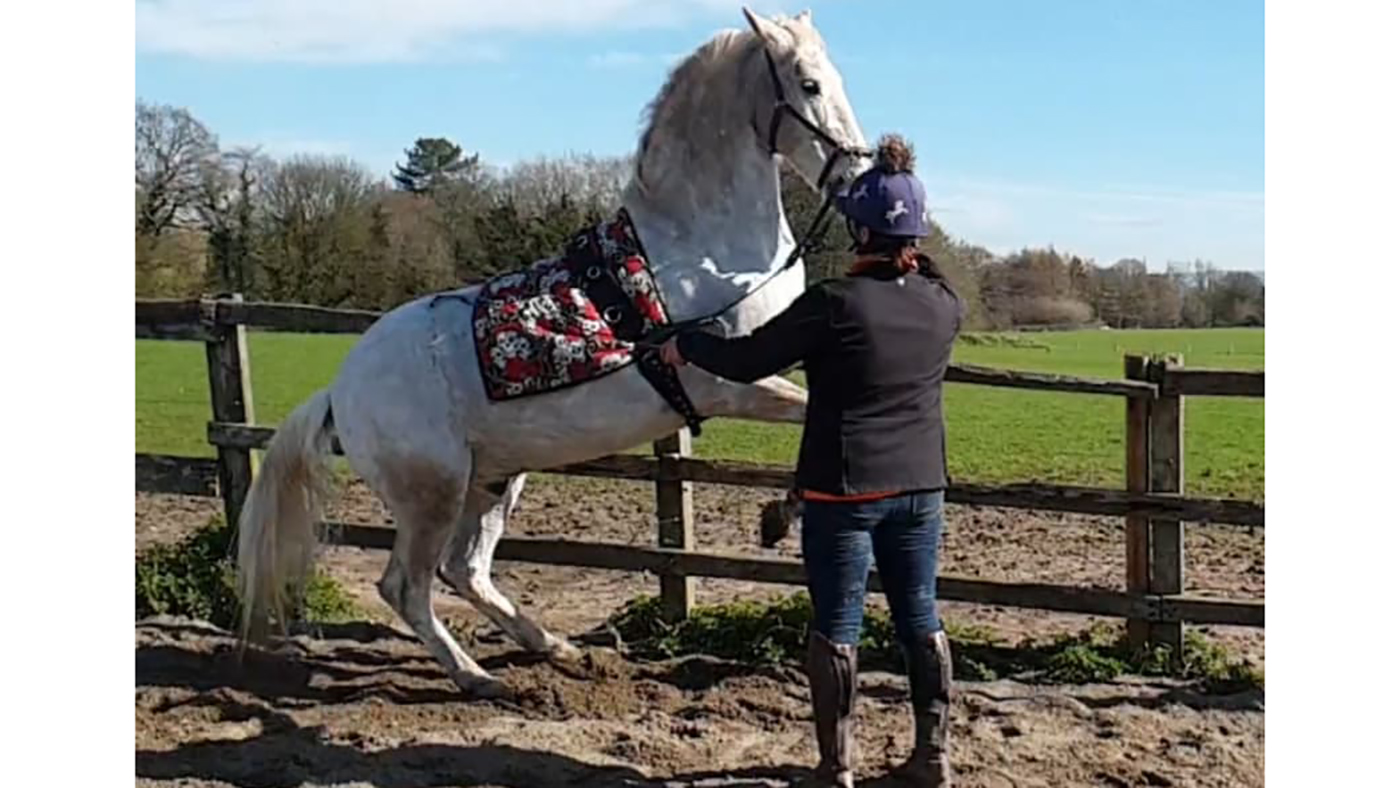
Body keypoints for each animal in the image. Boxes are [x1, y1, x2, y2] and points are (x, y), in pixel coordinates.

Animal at [235, 7, 871, 699]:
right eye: (809, 84)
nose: (858, 176)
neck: (704, 252)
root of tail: (340, 390)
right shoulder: (733, 384)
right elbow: (813, 423)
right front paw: (777, 517)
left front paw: (782, 513)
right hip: (432, 494)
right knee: (406, 587)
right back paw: (478, 676)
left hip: (493, 481)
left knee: (466, 571)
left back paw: (557, 648)